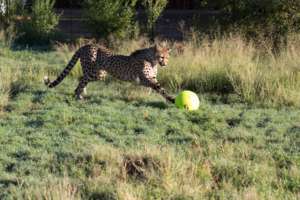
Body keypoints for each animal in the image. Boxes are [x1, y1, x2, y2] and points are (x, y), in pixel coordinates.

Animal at [44, 44, 175, 103]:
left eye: (168, 57)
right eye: (162, 57)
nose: (165, 63)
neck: (152, 60)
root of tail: (87, 44)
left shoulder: (150, 78)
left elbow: (156, 87)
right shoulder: (145, 79)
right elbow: (160, 88)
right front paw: (171, 99)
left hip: (99, 74)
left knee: (81, 78)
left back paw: (82, 93)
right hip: (93, 72)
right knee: (82, 80)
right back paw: (78, 96)